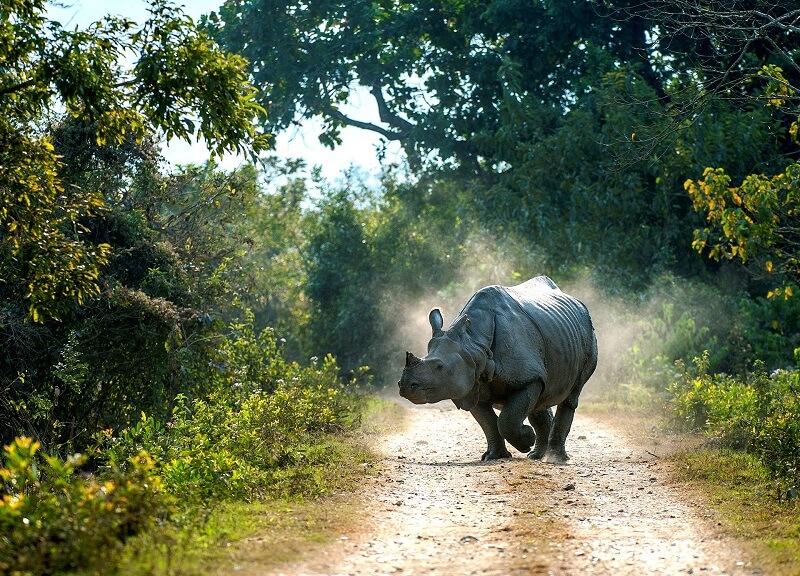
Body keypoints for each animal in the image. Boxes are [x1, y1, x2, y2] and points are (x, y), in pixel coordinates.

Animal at [398, 276, 597, 464]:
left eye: (439, 367)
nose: (405, 386)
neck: (475, 344)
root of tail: (578, 303)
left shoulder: (527, 378)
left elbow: (506, 421)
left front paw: (527, 438)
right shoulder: (473, 382)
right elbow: (488, 423)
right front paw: (494, 456)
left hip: (588, 333)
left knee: (571, 394)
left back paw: (556, 458)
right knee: (540, 397)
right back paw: (536, 455)